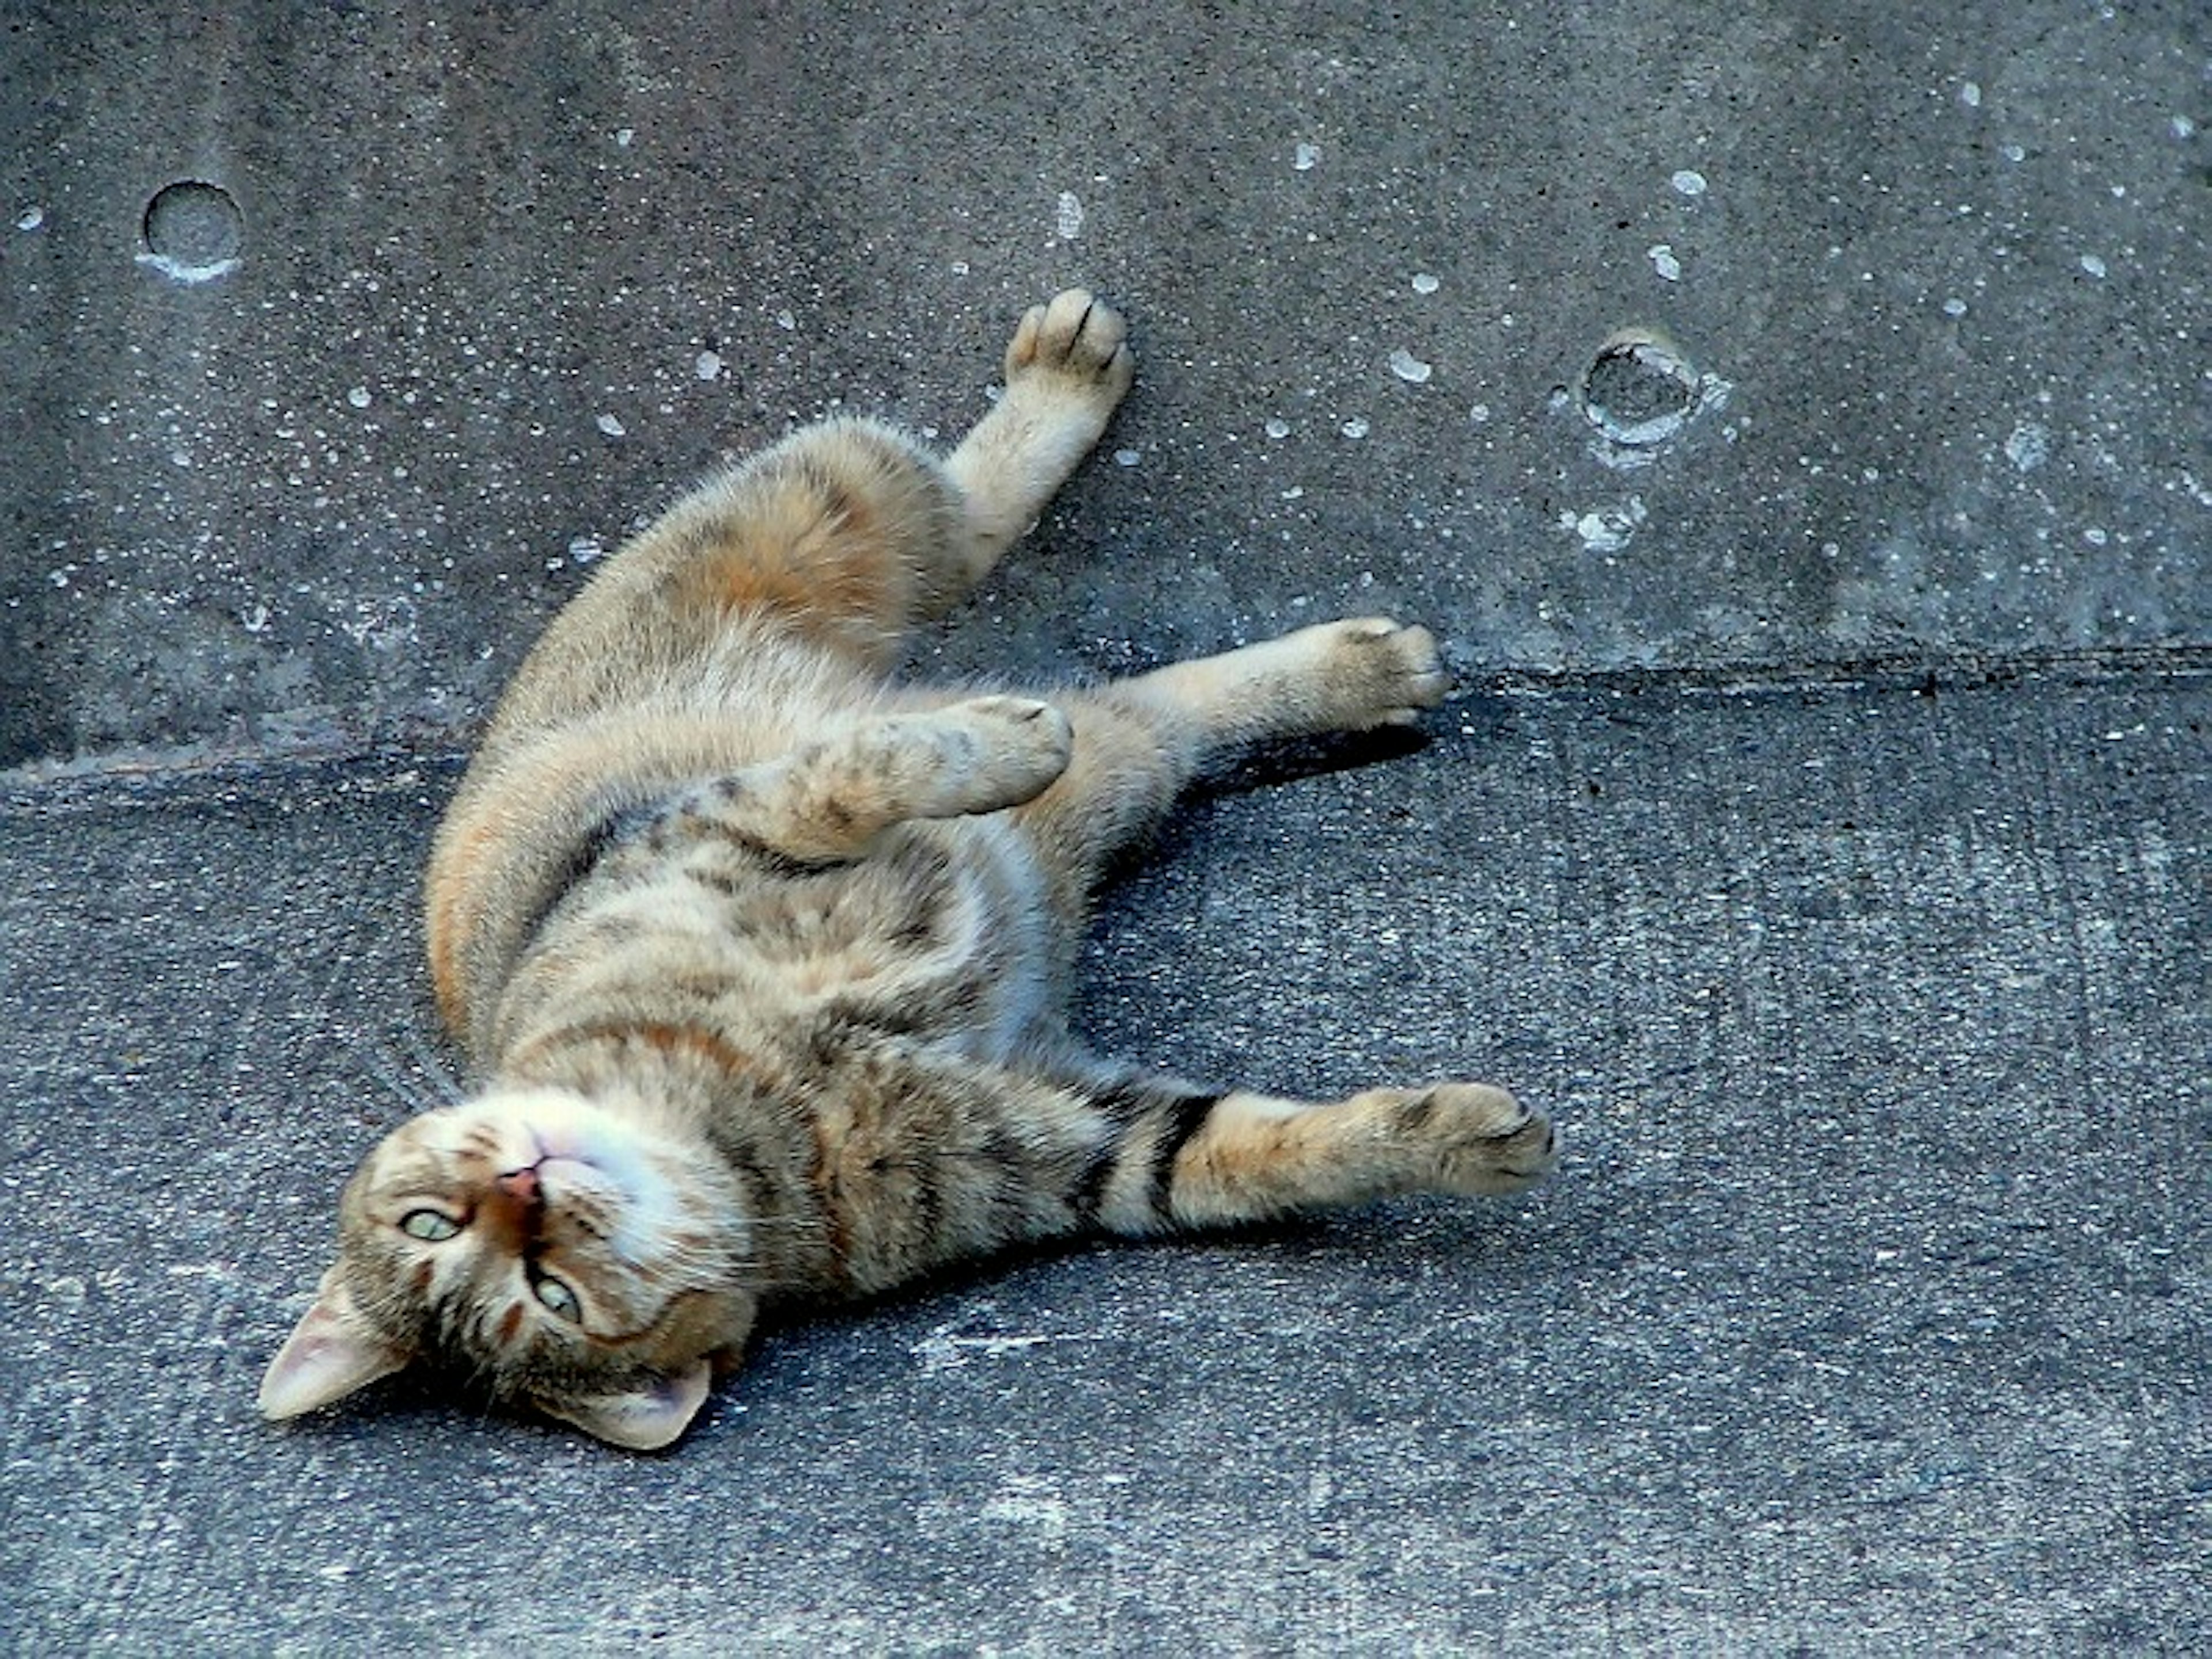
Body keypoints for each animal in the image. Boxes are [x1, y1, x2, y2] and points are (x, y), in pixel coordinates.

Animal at [259, 291, 1557, 1451]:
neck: (762, 1112)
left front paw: (996, 747)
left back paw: (1061, 408)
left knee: (955, 529)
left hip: (808, 497)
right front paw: (1453, 1140)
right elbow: (1250, 1151)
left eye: (429, 1219)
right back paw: (1351, 670)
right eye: (547, 1297)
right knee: (1144, 704)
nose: (521, 1185)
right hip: (1084, 747)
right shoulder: (1083, 1148)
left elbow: (865, 772)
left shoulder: (711, 827)